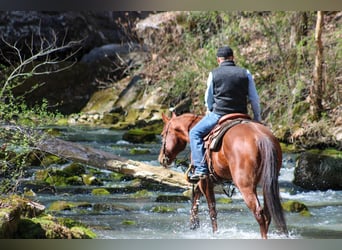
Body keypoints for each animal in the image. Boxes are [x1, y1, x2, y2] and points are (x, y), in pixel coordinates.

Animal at [159, 113, 288, 238]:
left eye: (162, 134)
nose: (161, 159)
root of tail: (260, 136)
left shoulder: (205, 180)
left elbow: (212, 210)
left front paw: (214, 233)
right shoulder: (207, 181)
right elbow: (196, 196)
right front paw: (194, 224)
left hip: (245, 186)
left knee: (259, 213)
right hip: (267, 183)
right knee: (267, 214)